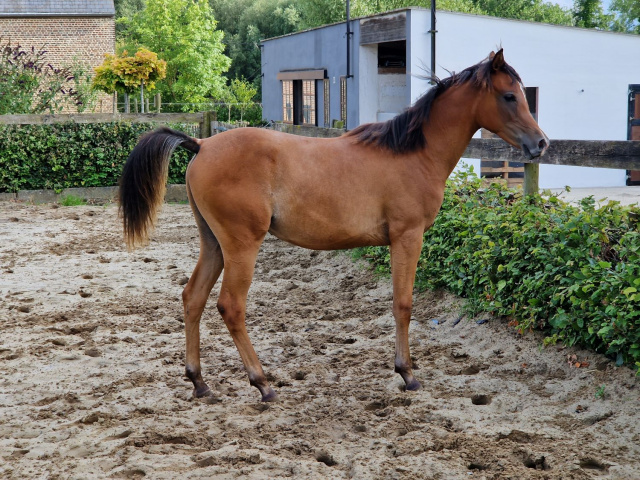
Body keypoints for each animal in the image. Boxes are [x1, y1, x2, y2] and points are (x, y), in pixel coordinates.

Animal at [121, 49, 552, 402]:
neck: (413, 152)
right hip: (241, 245)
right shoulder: (408, 237)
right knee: (231, 306)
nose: (541, 144)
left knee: (192, 298)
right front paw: (407, 373)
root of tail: (202, 145)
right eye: (509, 96)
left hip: (213, 243)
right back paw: (262, 383)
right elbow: (403, 304)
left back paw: (199, 382)